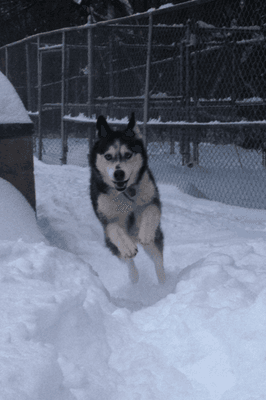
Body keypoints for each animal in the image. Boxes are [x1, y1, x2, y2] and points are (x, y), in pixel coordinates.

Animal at [89, 112, 165, 284]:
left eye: (128, 155)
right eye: (108, 156)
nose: (119, 173)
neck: (125, 193)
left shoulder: (152, 199)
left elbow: (150, 211)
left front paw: (146, 233)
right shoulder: (106, 218)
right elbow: (114, 229)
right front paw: (127, 247)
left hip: (154, 238)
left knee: (157, 258)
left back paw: (164, 282)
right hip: (112, 244)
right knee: (127, 259)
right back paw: (134, 277)